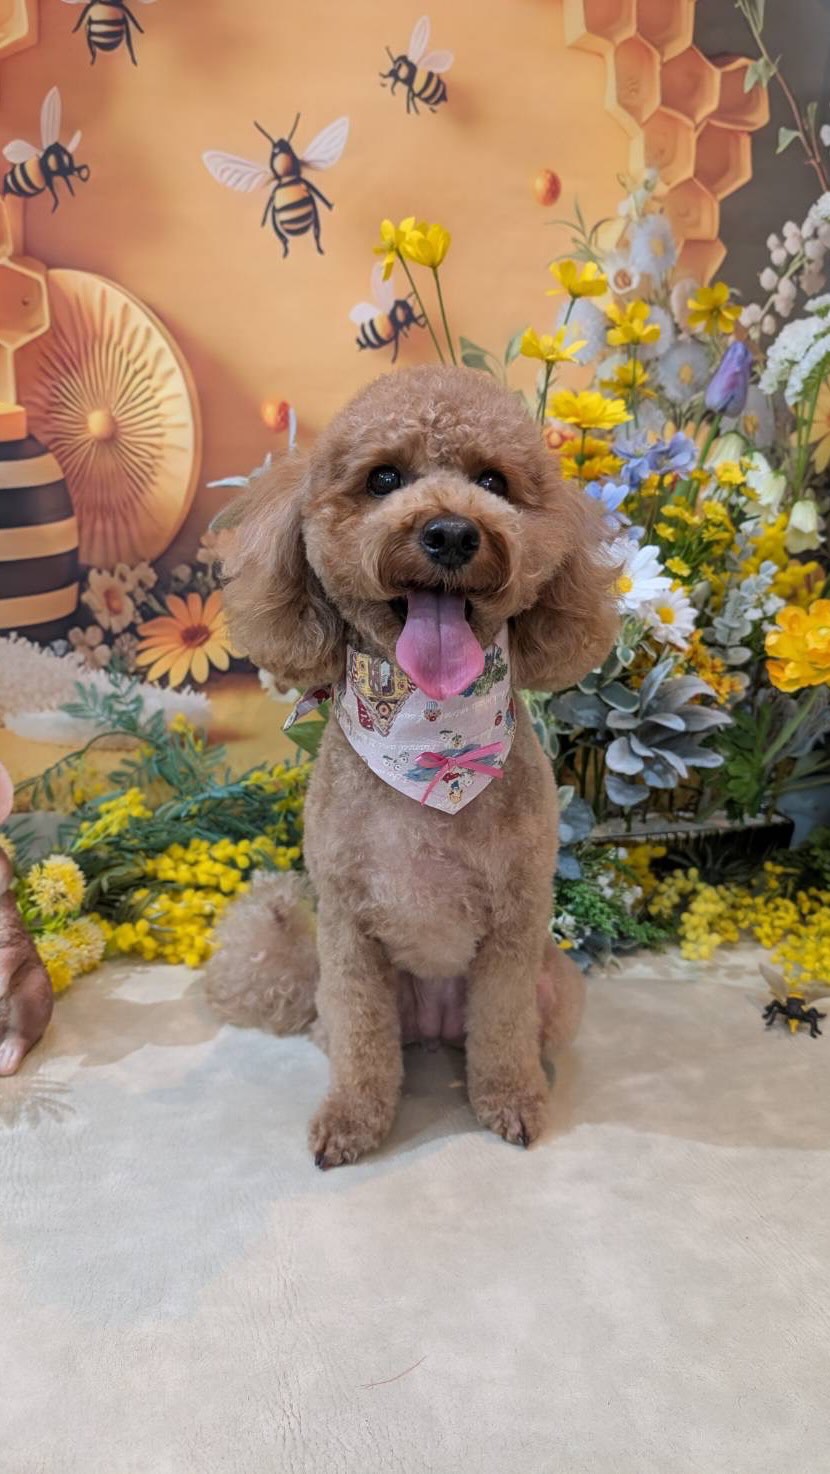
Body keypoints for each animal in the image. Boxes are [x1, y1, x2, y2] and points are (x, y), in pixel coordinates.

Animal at [205, 365, 618, 1166]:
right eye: (383, 478)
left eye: (493, 480)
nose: (452, 532)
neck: (432, 739)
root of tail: (432, 1025)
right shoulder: (347, 932)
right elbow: (363, 1045)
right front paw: (352, 1120)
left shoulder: (516, 926)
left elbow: (504, 1030)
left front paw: (512, 1101)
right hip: (349, 996)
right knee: (353, 1033)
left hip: (556, 985)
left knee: (521, 1029)